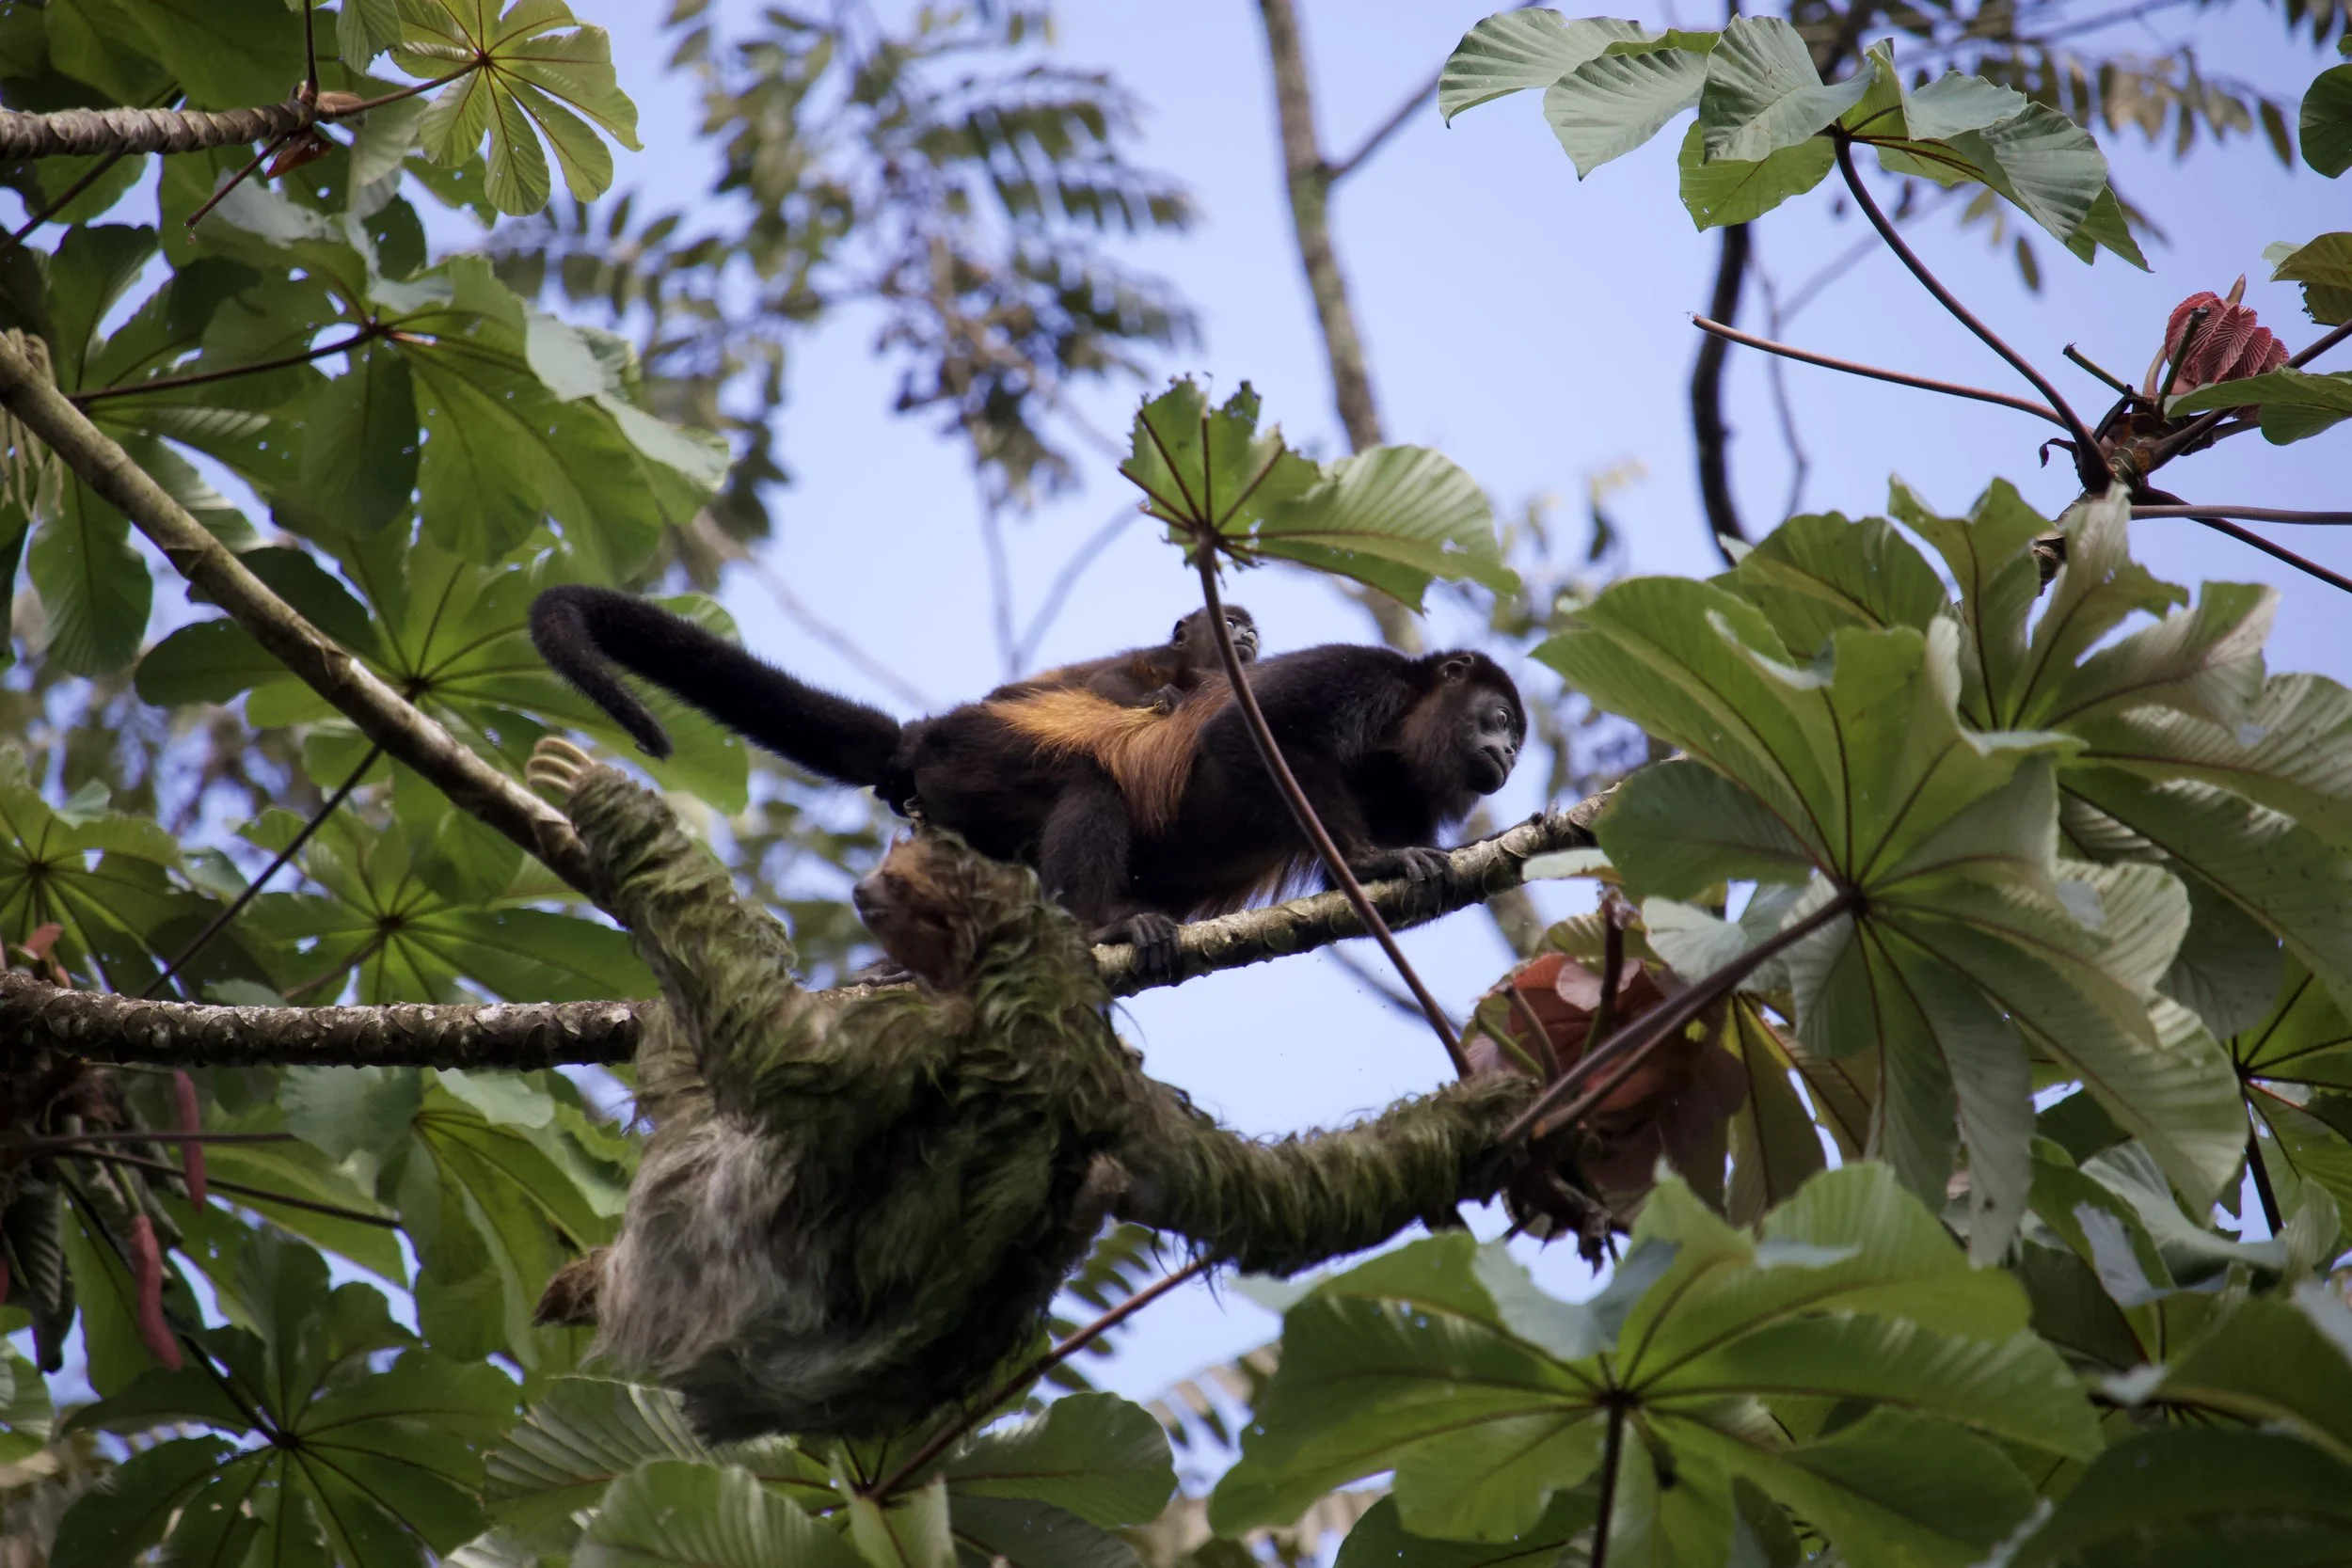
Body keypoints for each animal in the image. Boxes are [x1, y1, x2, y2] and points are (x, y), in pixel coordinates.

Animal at [523, 736, 1536, 1441]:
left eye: (898, 873)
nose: (867, 887)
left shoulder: (920, 1042)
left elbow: (773, 1050)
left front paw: (604, 797)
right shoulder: (1120, 1099)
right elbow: (1279, 1198)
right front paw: (1491, 1109)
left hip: (668, 1230)